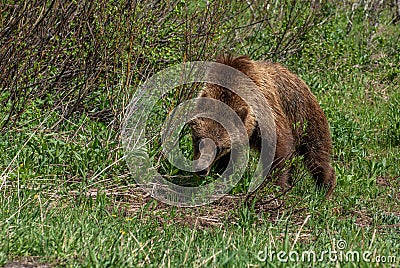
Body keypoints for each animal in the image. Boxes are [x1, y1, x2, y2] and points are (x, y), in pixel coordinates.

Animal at [189, 54, 336, 197]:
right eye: (199, 140)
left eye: (219, 148)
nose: (202, 169)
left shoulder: (267, 113)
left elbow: (278, 149)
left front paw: (277, 186)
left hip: (304, 116)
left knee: (316, 153)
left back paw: (325, 188)